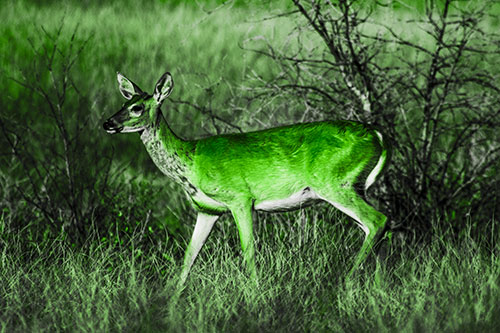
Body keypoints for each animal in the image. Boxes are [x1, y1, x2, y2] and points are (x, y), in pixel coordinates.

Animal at [101, 70, 390, 286]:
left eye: (137, 107)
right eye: (123, 103)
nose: (107, 123)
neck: (191, 161)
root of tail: (378, 136)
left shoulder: (240, 197)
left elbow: (248, 251)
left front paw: (254, 295)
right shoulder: (208, 209)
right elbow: (189, 257)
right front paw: (171, 303)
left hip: (335, 184)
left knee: (378, 220)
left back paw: (347, 281)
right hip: (352, 187)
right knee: (375, 229)